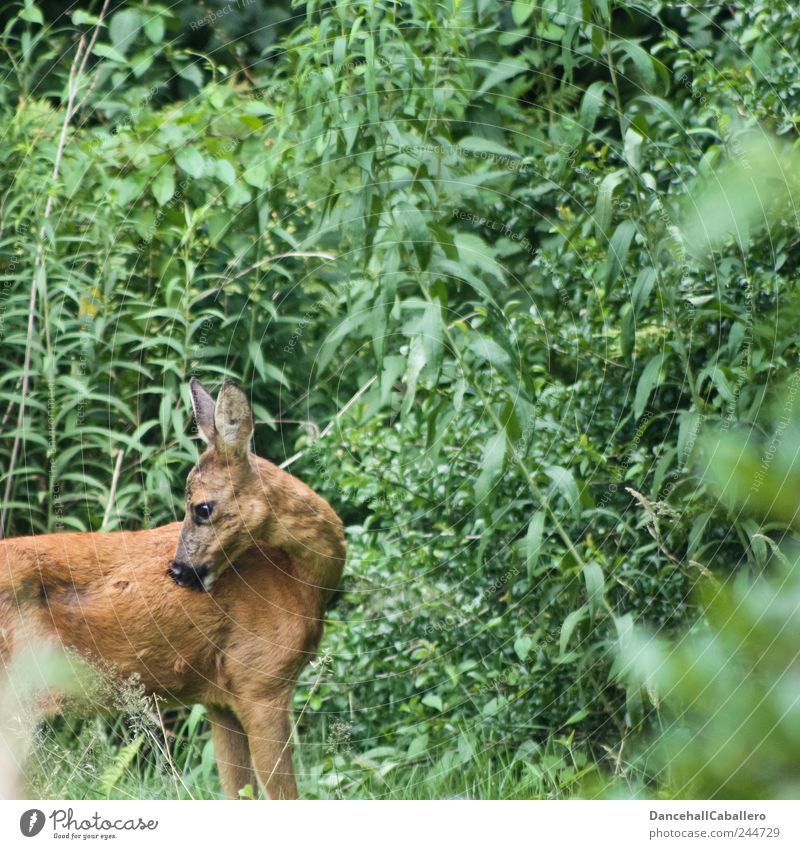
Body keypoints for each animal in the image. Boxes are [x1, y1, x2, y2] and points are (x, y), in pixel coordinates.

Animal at [0, 378, 344, 796]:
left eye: (202, 507)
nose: (178, 571)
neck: (297, 578)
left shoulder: (221, 698)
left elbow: (238, 793)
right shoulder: (261, 681)